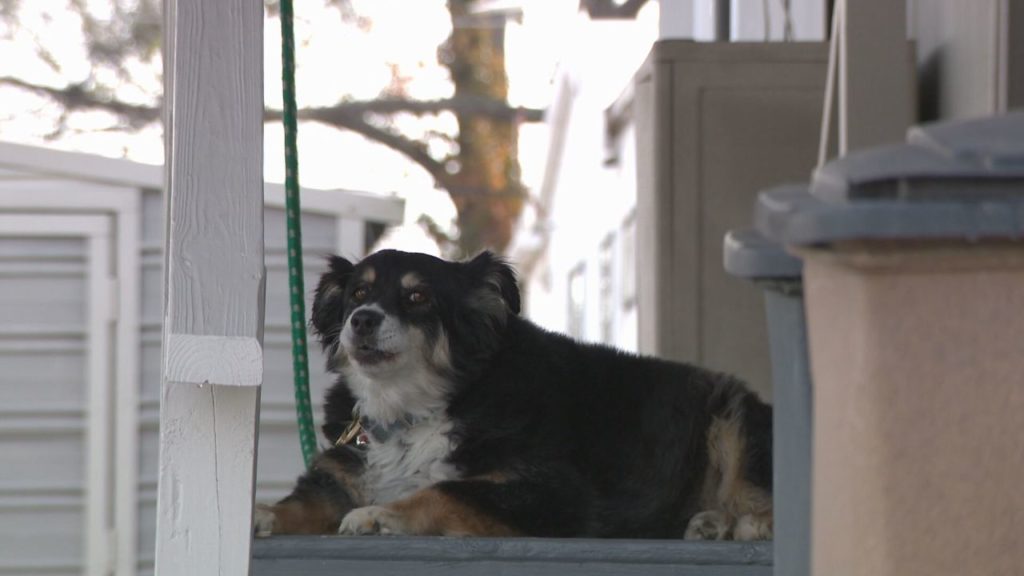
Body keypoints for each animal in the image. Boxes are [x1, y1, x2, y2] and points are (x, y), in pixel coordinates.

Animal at [251, 248, 770, 537]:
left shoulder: (555, 490)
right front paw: (258, 514)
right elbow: (300, 503)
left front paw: (380, 515)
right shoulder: (340, 476)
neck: (418, 408)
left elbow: (445, 490)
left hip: (734, 416)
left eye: (418, 297)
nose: (361, 321)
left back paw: (742, 524)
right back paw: (711, 523)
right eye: (358, 294)